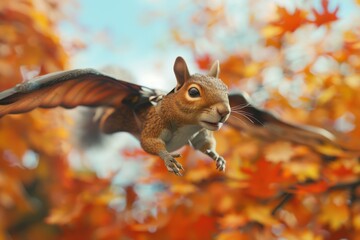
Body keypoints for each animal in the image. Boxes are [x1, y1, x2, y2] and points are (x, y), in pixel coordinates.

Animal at [99, 57, 231, 175]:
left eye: (226, 89)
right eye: (193, 92)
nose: (225, 111)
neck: (188, 126)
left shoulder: (201, 134)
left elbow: (204, 144)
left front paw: (217, 157)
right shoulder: (156, 123)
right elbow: (149, 141)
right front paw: (168, 158)